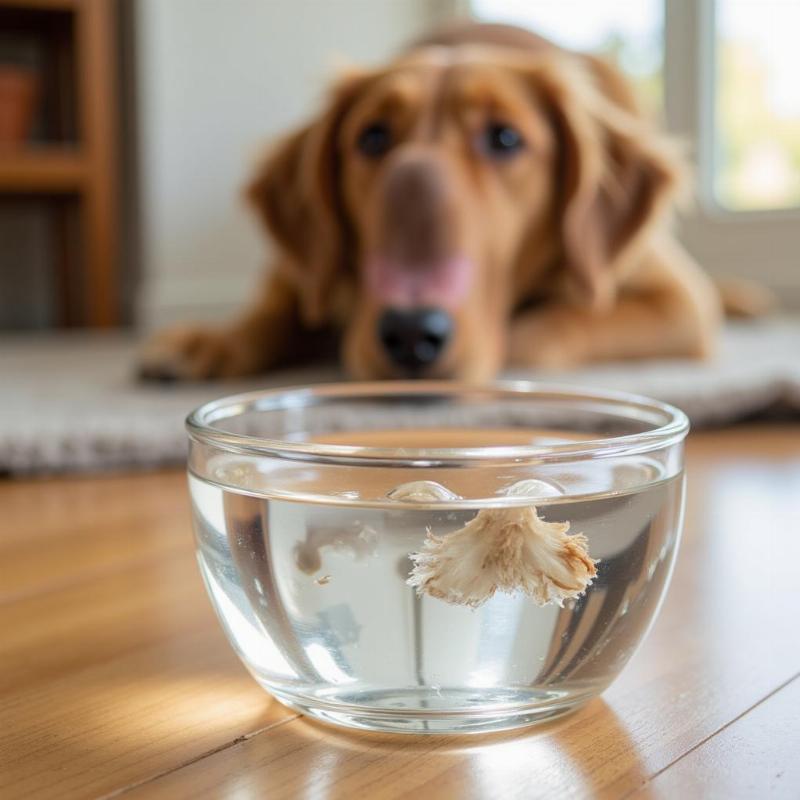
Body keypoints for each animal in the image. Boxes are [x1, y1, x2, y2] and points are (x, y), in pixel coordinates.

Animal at [139, 22, 724, 384]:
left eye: (505, 138)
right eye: (372, 137)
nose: (412, 334)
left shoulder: (680, 301)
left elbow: (548, 327)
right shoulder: (301, 274)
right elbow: (272, 313)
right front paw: (211, 341)